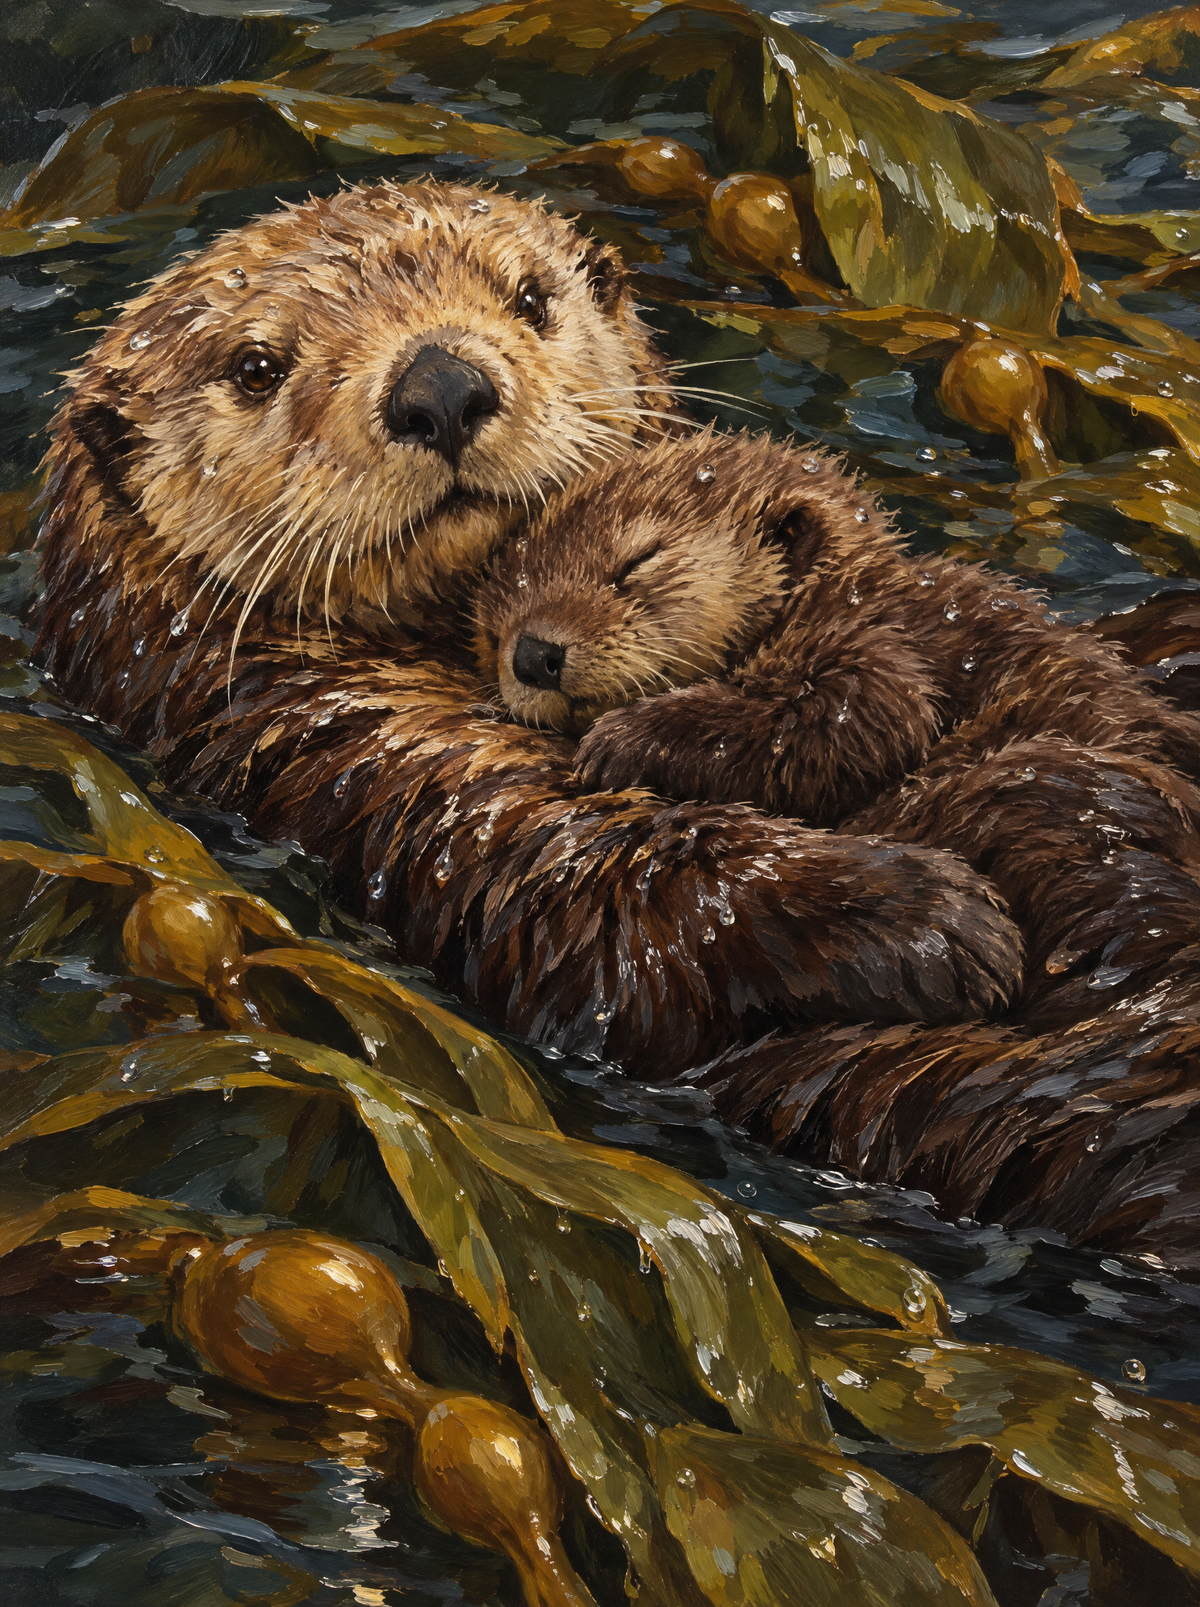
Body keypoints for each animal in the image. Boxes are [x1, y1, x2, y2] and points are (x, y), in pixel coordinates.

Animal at [36, 178, 1021, 1084]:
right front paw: (920, 913)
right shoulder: (369, 760)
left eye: (532, 299)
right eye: (255, 368)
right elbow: (600, 901)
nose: (441, 386)